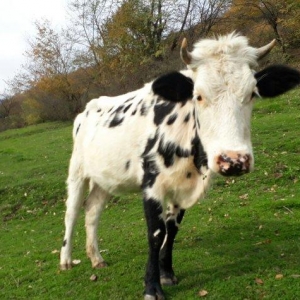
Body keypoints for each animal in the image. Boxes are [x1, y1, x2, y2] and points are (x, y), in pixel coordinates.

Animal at [59, 33, 300, 300]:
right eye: (198, 95)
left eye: (252, 94)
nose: (234, 160)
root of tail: (88, 108)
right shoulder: (152, 184)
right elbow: (156, 233)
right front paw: (152, 286)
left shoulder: (182, 187)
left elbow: (171, 230)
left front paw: (167, 273)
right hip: (76, 171)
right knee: (72, 212)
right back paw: (66, 260)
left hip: (105, 178)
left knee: (92, 209)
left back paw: (96, 258)